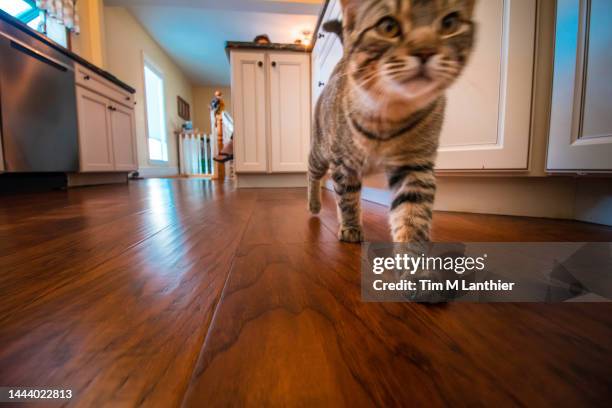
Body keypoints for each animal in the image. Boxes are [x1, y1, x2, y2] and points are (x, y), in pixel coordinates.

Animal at [308, 0, 476, 242]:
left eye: (449, 23)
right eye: (388, 27)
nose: (425, 50)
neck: (389, 112)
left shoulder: (414, 165)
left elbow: (412, 213)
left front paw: (413, 246)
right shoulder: (343, 164)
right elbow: (347, 199)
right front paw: (351, 227)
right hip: (321, 152)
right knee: (313, 175)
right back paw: (314, 204)